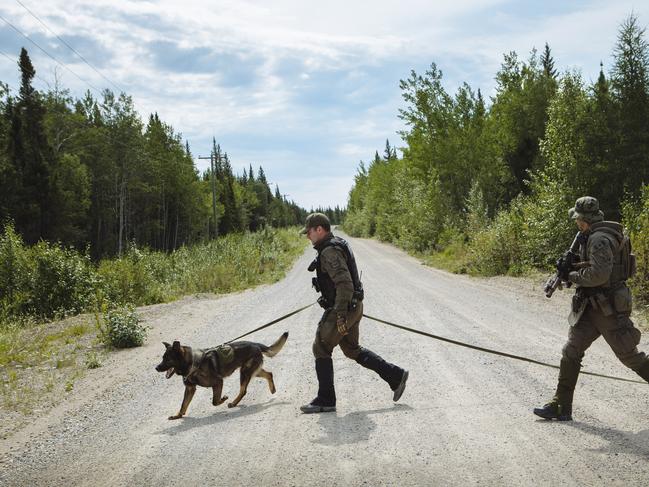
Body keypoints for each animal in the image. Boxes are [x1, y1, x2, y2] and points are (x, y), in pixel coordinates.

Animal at [154, 334, 286, 422]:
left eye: (168, 359)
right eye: (162, 358)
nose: (156, 367)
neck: (192, 362)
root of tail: (255, 344)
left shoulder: (218, 382)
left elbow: (214, 401)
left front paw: (223, 399)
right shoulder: (190, 389)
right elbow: (183, 405)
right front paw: (178, 415)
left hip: (245, 372)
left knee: (243, 390)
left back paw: (233, 403)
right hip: (252, 371)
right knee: (269, 374)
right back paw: (272, 389)